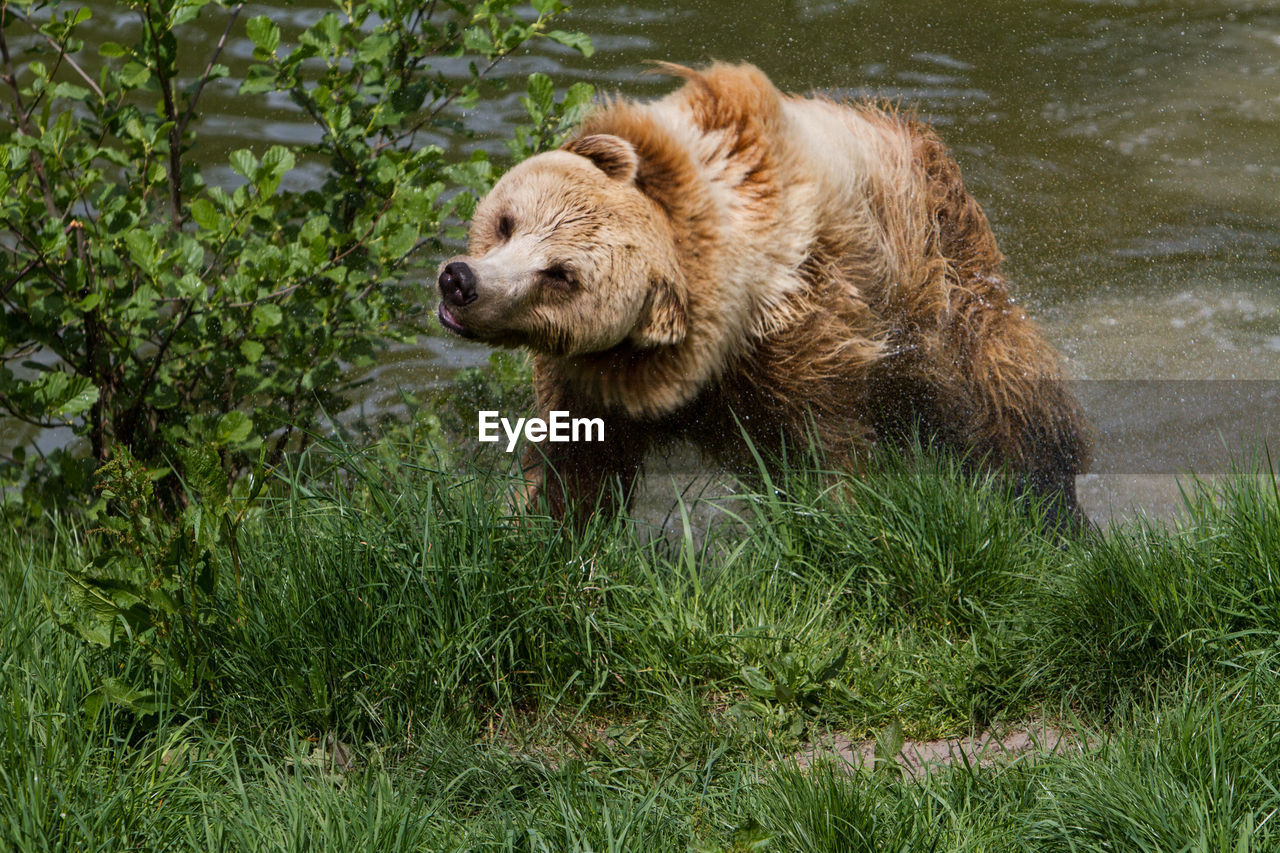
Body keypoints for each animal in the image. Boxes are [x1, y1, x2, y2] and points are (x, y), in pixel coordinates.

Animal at [440, 61, 1090, 525]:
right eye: (507, 222)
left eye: (561, 274)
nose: (460, 281)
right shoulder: (594, 379)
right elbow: (574, 467)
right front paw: (539, 529)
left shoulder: (804, 341)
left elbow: (826, 454)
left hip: (941, 286)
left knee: (1003, 397)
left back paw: (1050, 503)